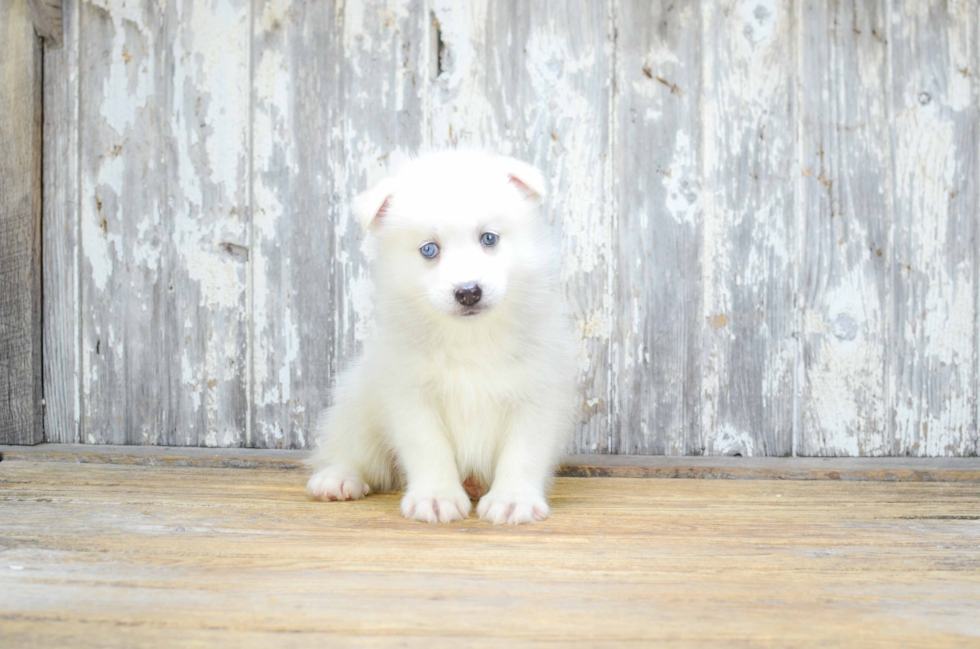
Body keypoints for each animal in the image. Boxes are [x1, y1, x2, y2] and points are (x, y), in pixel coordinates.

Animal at [308, 149, 576, 524]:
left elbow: (523, 452)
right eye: (429, 250)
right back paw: (338, 478)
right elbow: (428, 447)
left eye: (489, 238)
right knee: (352, 452)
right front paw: (436, 497)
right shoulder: (411, 395)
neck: (471, 337)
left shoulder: (537, 394)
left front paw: (512, 500)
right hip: (357, 402)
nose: (468, 292)